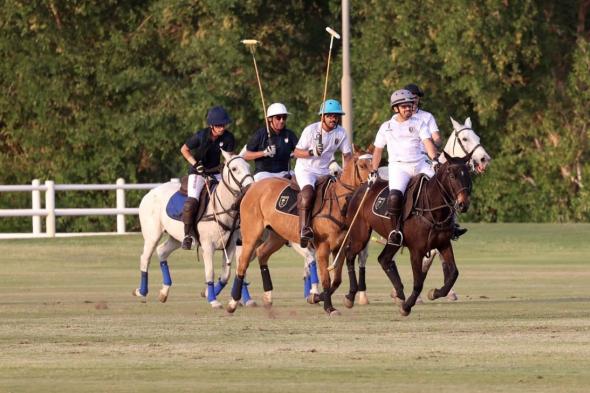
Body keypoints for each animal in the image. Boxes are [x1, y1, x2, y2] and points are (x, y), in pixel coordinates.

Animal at [133, 149, 256, 306]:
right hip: (152, 235)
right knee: (145, 258)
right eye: (234, 169)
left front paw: (208, 293)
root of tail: (149, 193)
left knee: (162, 251)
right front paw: (213, 300)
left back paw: (164, 292)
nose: (250, 188)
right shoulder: (208, 246)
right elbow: (210, 272)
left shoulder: (230, 246)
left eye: (248, 166)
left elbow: (225, 275)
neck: (221, 207)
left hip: (176, 237)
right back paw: (141, 291)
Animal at [228, 145, 374, 314]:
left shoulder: (341, 247)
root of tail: (252, 187)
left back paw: (267, 297)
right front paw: (329, 307)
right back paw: (233, 303)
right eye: (362, 166)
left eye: (373, 163)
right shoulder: (323, 247)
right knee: (242, 263)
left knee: (262, 253)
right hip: (251, 234)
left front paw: (315, 298)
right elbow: (326, 279)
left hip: (277, 236)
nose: (375, 178)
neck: (339, 203)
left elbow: (336, 280)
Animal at [340, 151, 474, 316]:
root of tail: (357, 190)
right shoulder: (416, 250)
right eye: (452, 176)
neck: (433, 211)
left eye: (468, 175)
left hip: (392, 240)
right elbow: (418, 282)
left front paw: (434, 293)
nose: (463, 204)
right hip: (360, 234)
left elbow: (454, 273)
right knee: (350, 255)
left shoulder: (444, 244)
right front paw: (407, 306)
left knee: (384, 259)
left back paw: (399, 294)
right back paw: (351, 296)